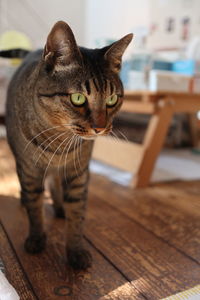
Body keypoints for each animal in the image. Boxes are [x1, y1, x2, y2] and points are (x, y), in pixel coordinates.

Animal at [5, 21, 133, 270]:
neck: (59, 141)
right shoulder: (30, 171)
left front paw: (75, 250)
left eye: (112, 99)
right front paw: (37, 238)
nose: (100, 128)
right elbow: (35, 207)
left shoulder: (79, 173)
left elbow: (77, 215)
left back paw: (59, 207)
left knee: (55, 184)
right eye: (78, 98)